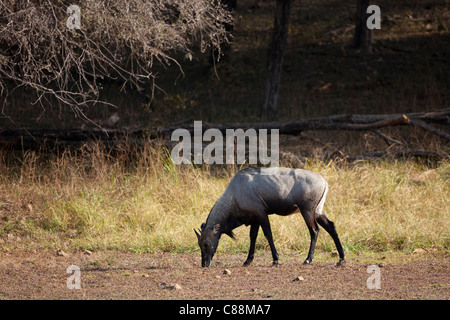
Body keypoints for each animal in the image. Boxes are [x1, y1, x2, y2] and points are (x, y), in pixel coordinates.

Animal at [193, 168, 344, 268]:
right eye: (199, 244)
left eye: (205, 244)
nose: (204, 264)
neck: (235, 192)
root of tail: (324, 181)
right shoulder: (254, 218)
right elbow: (253, 236)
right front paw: (247, 261)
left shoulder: (261, 213)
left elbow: (268, 234)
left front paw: (275, 260)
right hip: (317, 211)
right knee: (331, 226)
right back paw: (341, 258)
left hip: (307, 210)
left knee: (314, 231)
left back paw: (308, 260)